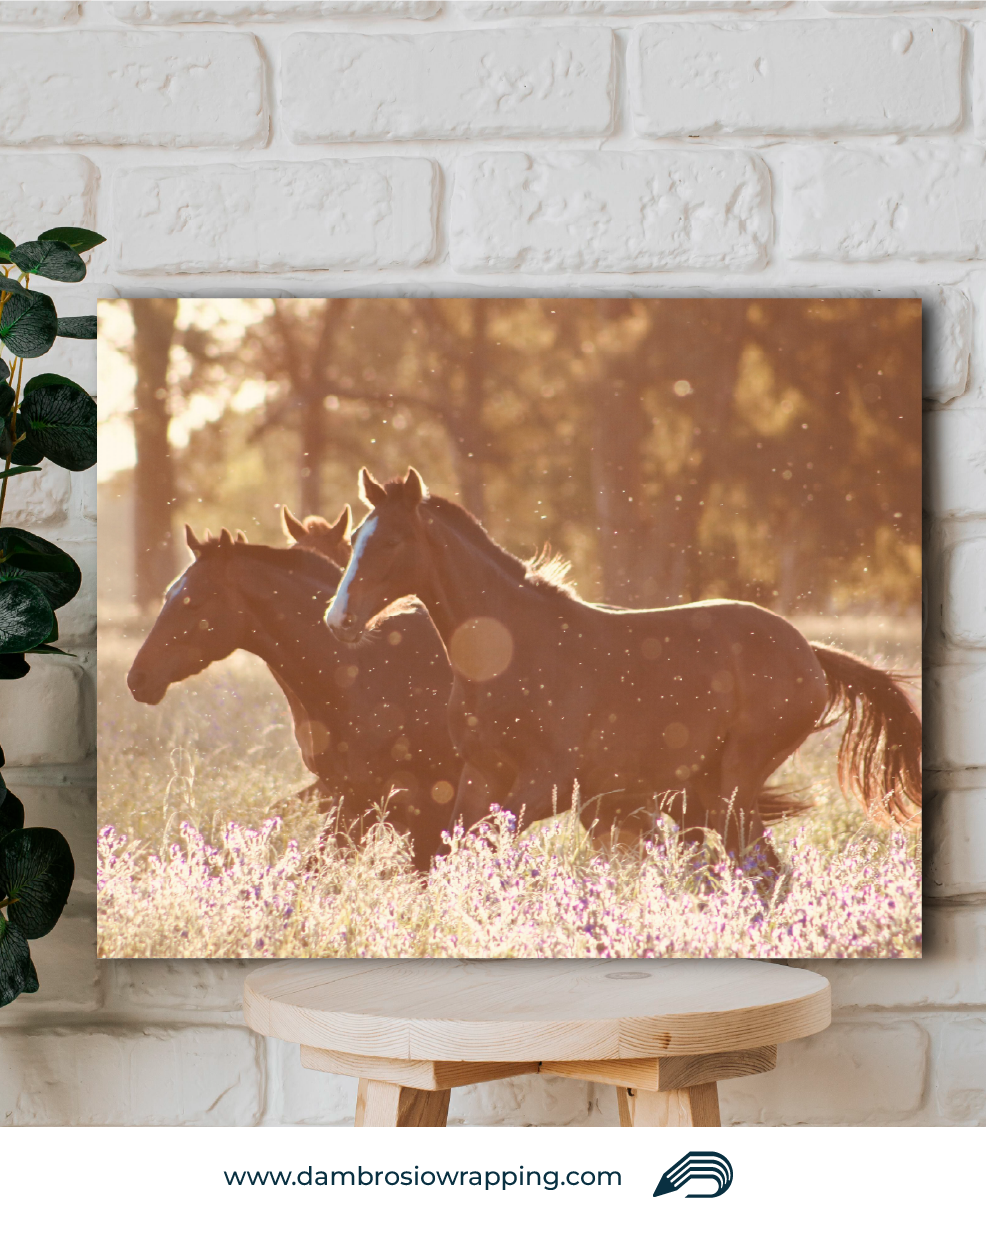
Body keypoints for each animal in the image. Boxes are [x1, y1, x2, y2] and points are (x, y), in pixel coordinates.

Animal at [325, 467, 922, 864]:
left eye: (394, 540)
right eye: (355, 539)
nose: (338, 619)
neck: (510, 652)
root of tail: (809, 652)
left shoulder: (547, 782)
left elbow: (487, 844)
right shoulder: (481, 773)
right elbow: (455, 849)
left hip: (734, 782)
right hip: (703, 791)